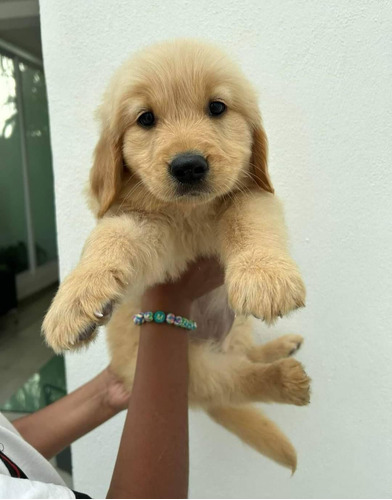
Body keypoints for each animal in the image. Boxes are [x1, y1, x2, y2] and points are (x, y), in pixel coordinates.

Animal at [43, 40, 310, 472]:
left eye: (217, 107)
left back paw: (282, 350)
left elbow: (248, 220)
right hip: (193, 368)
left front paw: (265, 275)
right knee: (234, 382)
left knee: (244, 356)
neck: (192, 215)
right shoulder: (151, 233)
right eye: (146, 118)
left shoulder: (252, 192)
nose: (188, 166)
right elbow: (110, 237)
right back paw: (286, 380)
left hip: (234, 330)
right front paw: (74, 301)